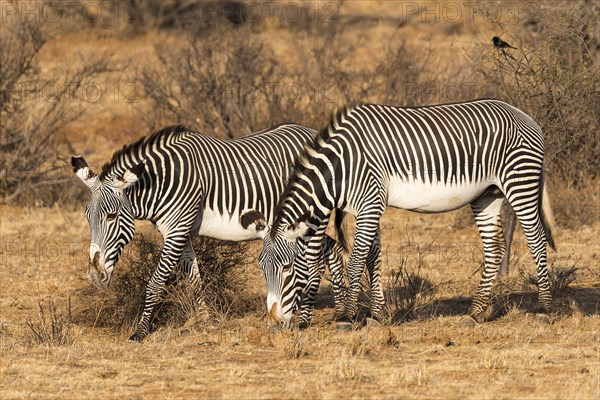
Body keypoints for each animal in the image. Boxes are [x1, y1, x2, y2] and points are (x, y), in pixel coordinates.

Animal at [71, 123, 346, 340]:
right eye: (87, 216)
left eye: (111, 216)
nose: (95, 276)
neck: (161, 182)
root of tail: (312, 132)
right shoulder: (178, 232)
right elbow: (193, 278)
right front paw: (205, 320)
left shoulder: (177, 230)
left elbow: (156, 282)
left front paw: (140, 331)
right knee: (332, 248)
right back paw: (342, 310)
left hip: (311, 216)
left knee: (315, 261)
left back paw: (310, 318)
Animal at [254, 98, 556, 326]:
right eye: (262, 268)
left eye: (287, 267)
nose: (274, 321)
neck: (340, 168)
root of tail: (524, 114)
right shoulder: (368, 207)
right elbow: (372, 258)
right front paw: (376, 316)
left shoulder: (370, 202)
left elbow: (356, 260)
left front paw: (346, 318)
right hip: (487, 195)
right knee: (494, 249)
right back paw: (475, 313)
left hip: (520, 182)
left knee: (537, 240)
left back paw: (543, 309)